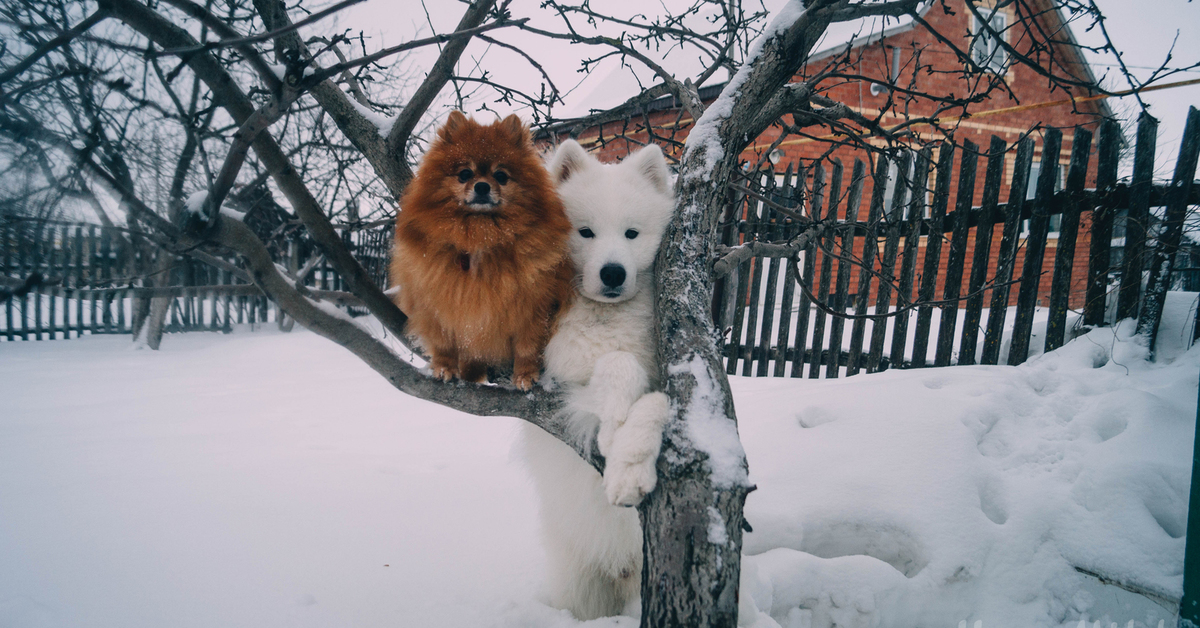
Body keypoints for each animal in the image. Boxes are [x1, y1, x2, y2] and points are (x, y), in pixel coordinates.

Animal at [386, 110, 568, 391]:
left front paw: (525, 375)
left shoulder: (534, 307)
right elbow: (443, 342)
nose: (482, 186)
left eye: (501, 175)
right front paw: (444, 367)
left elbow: (526, 347)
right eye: (464, 174)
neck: (479, 236)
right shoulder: (435, 303)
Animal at [518, 141, 681, 619]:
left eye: (631, 234)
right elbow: (616, 368)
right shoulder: (563, 387)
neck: (605, 319)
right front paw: (613, 424)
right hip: (580, 587)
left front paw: (628, 466)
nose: (613, 273)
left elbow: (654, 402)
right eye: (585, 232)